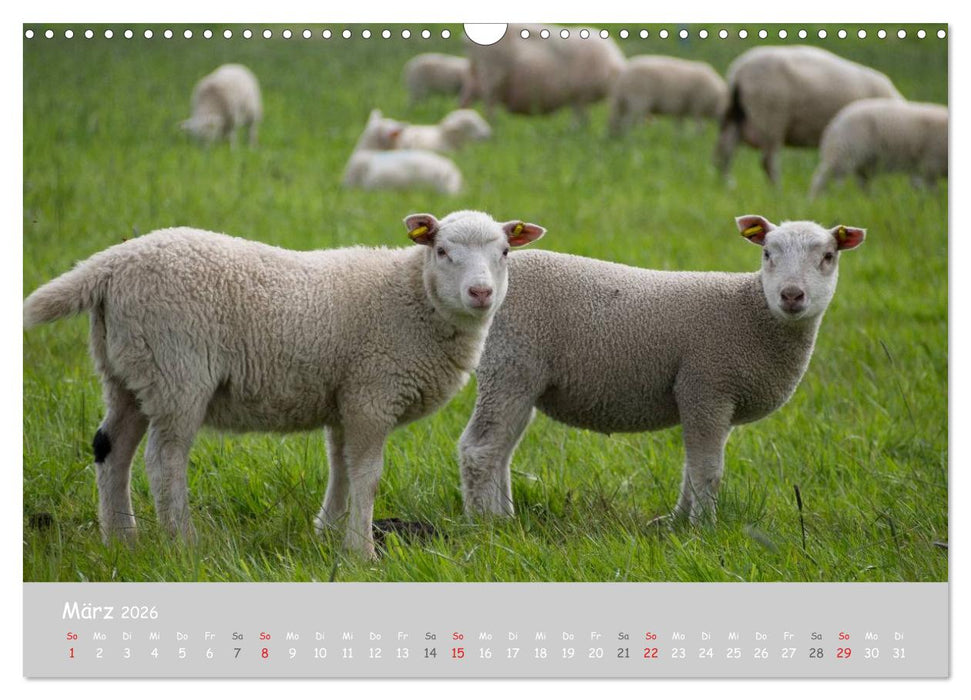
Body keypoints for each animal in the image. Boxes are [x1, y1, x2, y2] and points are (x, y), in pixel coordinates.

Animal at [22, 212, 547, 558]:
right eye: (441, 251)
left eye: (504, 253)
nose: (480, 293)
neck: (411, 298)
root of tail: (111, 263)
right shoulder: (372, 392)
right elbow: (367, 473)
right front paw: (361, 551)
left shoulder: (345, 395)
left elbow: (340, 466)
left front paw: (329, 531)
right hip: (177, 370)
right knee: (163, 459)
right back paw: (182, 543)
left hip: (127, 370)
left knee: (111, 449)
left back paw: (121, 541)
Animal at [459, 216, 865, 525]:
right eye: (767, 253)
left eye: (828, 256)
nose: (791, 295)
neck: (750, 311)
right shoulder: (705, 386)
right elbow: (707, 471)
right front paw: (703, 529)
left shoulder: (715, 399)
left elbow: (692, 468)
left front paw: (677, 522)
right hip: (509, 365)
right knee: (480, 449)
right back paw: (485, 522)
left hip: (520, 378)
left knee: (501, 450)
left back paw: (505, 516)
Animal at [461, 23, 625, 120]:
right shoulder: (580, 95)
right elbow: (582, 119)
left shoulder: (576, 96)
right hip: (491, 78)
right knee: (489, 106)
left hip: (475, 74)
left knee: (466, 99)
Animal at [715, 46, 903, 183]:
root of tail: (739, 71)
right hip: (770, 119)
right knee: (768, 162)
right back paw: (777, 191)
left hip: (735, 115)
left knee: (725, 151)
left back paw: (727, 183)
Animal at [809, 99, 948, 198]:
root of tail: (836, 119)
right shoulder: (931, 164)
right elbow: (932, 190)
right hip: (844, 151)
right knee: (821, 178)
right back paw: (816, 201)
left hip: (864, 162)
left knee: (862, 183)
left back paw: (868, 200)